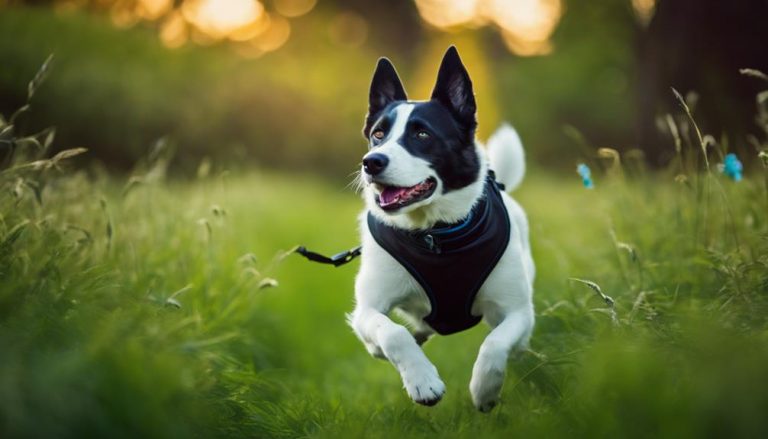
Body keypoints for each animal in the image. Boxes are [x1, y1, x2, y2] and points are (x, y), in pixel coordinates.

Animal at [348, 47, 536, 412]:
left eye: (422, 135)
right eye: (378, 134)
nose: (371, 162)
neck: (435, 234)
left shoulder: (519, 313)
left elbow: (496, 343)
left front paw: (484, 391)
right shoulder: (366, 310)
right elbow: (392, 333)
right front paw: (423, 382)